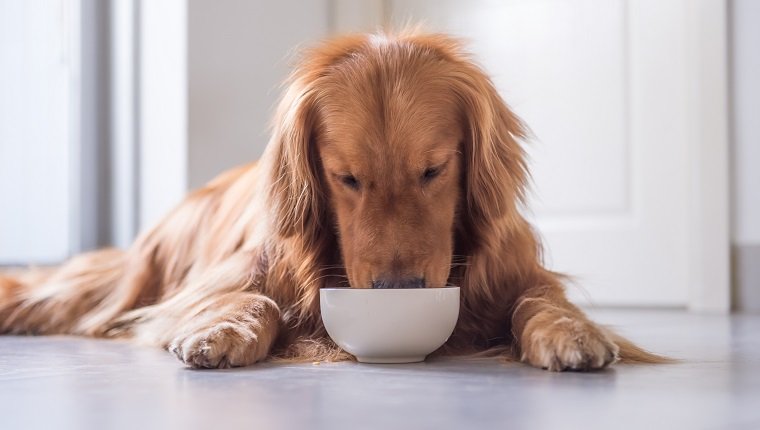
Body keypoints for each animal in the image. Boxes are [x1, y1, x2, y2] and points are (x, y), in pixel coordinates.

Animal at [0, 31, 664, 372]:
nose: (398, 290)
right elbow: (252, 299)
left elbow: (538, 302)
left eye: (434, 169)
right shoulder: (224, 279)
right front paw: (224, 330)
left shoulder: (520, 273)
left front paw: (569, 332)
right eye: (346, 178)